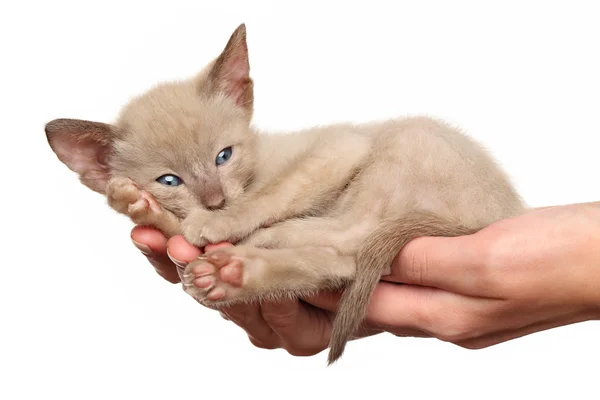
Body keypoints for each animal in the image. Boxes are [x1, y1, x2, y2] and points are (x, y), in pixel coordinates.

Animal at [45, 23, 524, 364]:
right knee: (338, 262)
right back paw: (221, 265)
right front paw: (147, 205)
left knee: (348, 244)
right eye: (169, 181)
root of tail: (502, 213)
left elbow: (271, 196)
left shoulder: (339, 147)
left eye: (223, 156)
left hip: (406, 142)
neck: (253, 168)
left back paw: (240, 258)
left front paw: (219, 222)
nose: (214, 201)